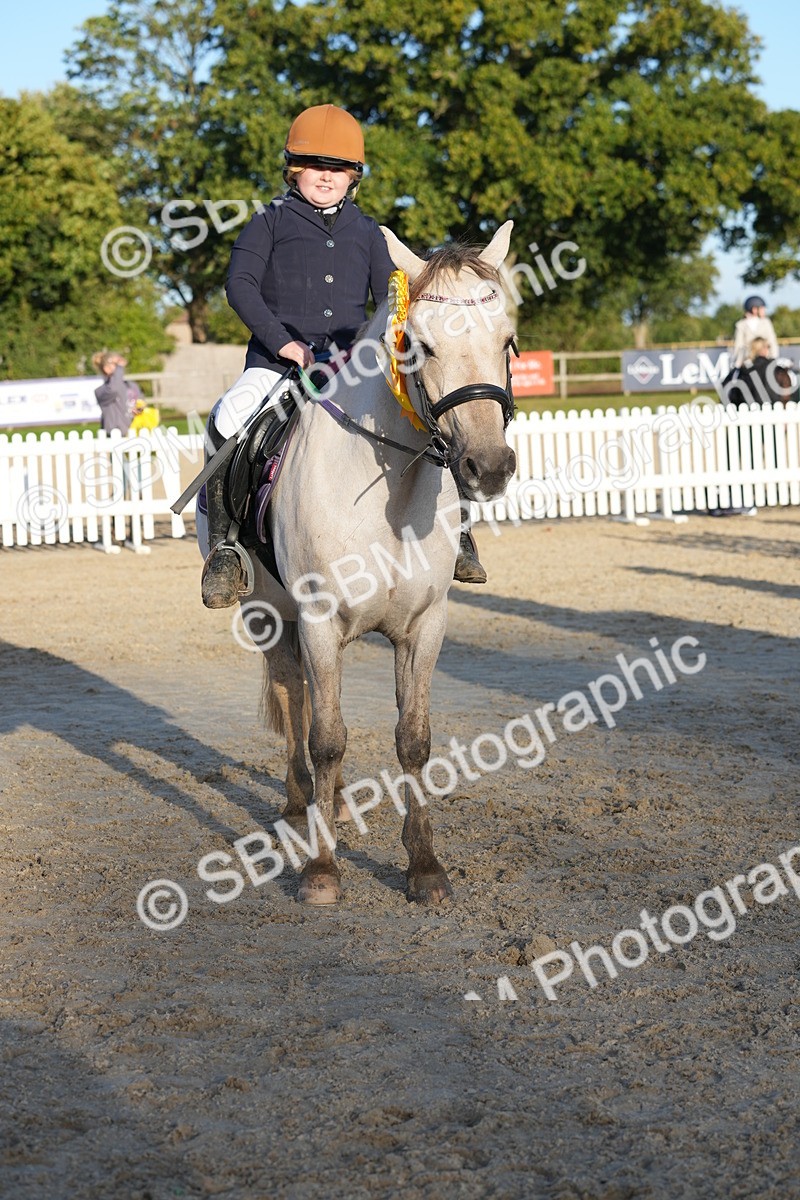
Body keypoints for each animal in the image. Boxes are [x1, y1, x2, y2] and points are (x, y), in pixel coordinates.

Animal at [246, 221, 517, 905]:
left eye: (507, 339)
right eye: (417, 344)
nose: (489, 467)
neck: (391, 487)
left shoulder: (424, 625)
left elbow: (413, 740)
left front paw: (425, 866)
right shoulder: (317, 620)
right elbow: (325, 737)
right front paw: (321, 869)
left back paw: (335, 804)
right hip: (269, 614)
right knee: (295, 698)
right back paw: (301, 807)